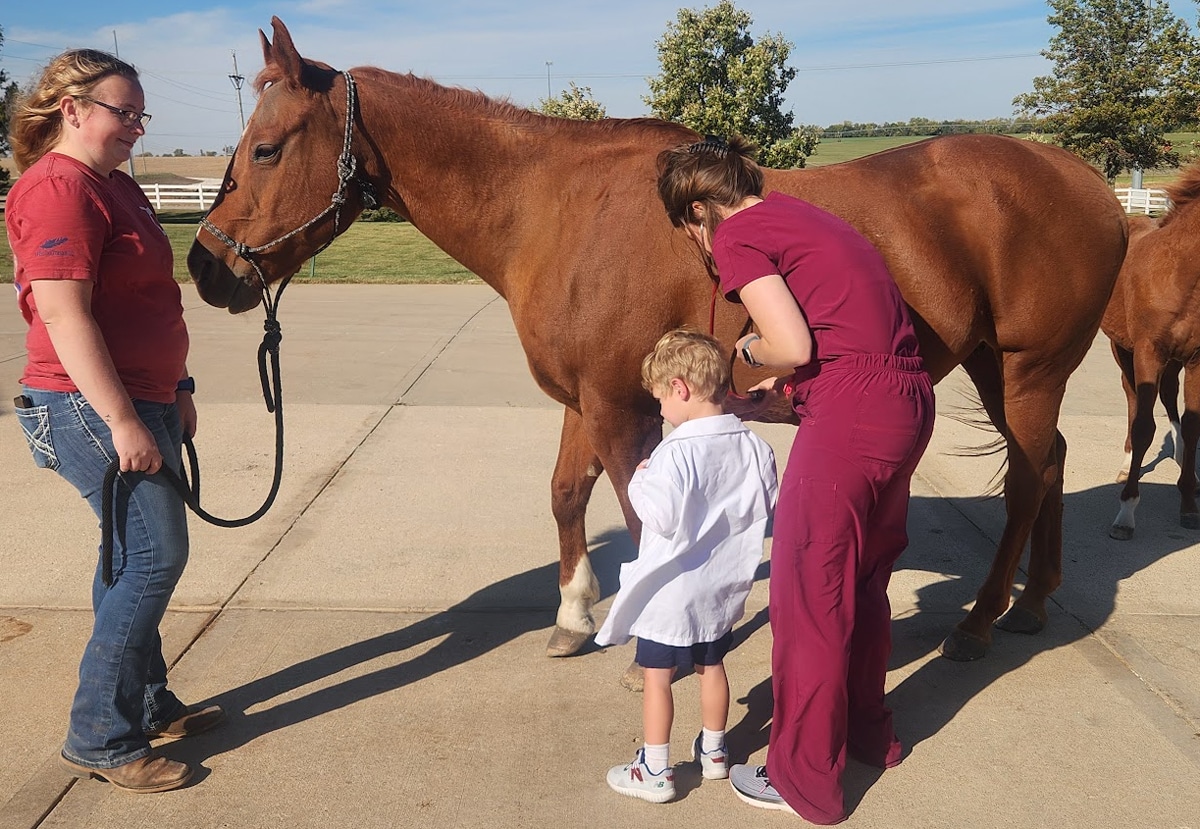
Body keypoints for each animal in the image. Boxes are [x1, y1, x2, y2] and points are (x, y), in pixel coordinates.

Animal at [187, 18, 1129, 663]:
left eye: (265, 148)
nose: (204, 267)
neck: (553, 208)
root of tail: (1094, 186)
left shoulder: (622, 410)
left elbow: (646, 524)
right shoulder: (586, 398)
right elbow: (566, 495)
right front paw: (573, 614)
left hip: (1027, 369)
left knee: (1027, 478)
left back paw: (980, 619)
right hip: (998, 369)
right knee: (1051, 463)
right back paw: (1033, 602)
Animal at [1101, 166, 1200, 540]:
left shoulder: (1196, 358)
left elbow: (1193, 424)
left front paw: (1188, 505)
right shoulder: (1148, 351)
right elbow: (1144, 425)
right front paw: (1126, 513)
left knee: (1169, 394)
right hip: (1123, 349)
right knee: (1133, 399)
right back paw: (1126, 464)